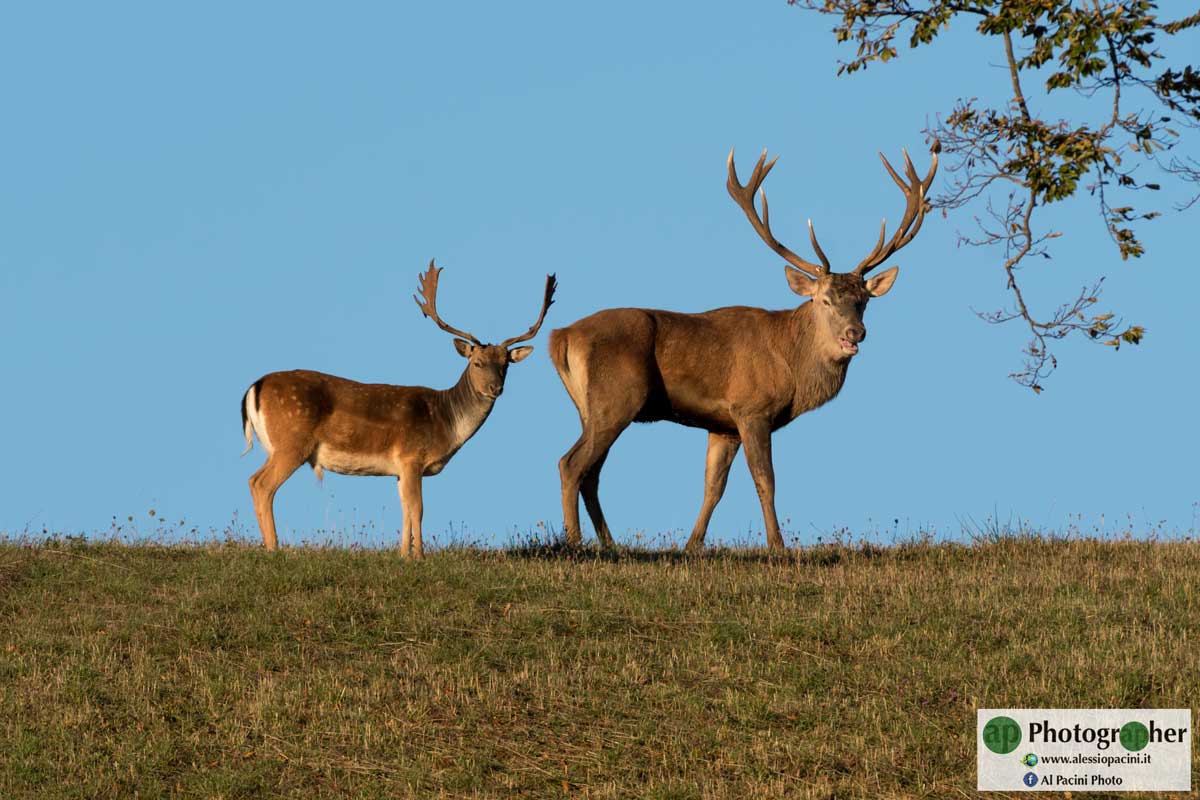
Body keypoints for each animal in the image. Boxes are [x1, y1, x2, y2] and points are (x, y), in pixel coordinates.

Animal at [240, 262, 556, 557]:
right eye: (477, 362)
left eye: (505, 364)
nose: (495, 388)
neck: (446, 423)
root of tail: (253, 388)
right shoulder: (411, 456)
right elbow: (418, 508)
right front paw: (420, 556)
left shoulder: (399, 470)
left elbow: (404, 508)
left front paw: (404, 554)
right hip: (292, 441)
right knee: (260, 483)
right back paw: (273, 548)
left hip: (276, 445)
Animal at [549, 141, 938, 552]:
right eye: (825, 300)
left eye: (863, 301)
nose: (855, 333)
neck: (790, 363)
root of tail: (561, 336)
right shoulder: (752, 407)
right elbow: (765, 481)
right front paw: (778, 547)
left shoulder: (723, 425)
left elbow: (713, 487)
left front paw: (693, 546)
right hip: (618, 396)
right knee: (571, 464)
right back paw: (574, 542)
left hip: (590, 407)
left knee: (591, 473)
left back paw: (609, 544)